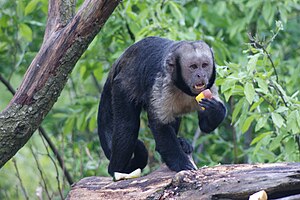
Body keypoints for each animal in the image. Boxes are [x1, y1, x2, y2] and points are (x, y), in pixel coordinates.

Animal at [97, 36, 226, 177]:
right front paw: (181, 164)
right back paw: (116, 170)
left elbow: (205, 126)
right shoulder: (162, 83)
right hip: (121, 85)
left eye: (204, 65)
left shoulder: (209, 87)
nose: (201, 75)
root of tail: (121, 58)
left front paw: (215, 110)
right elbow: (159, 124)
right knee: (127, 127)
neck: (183, 89)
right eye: (193, 67)